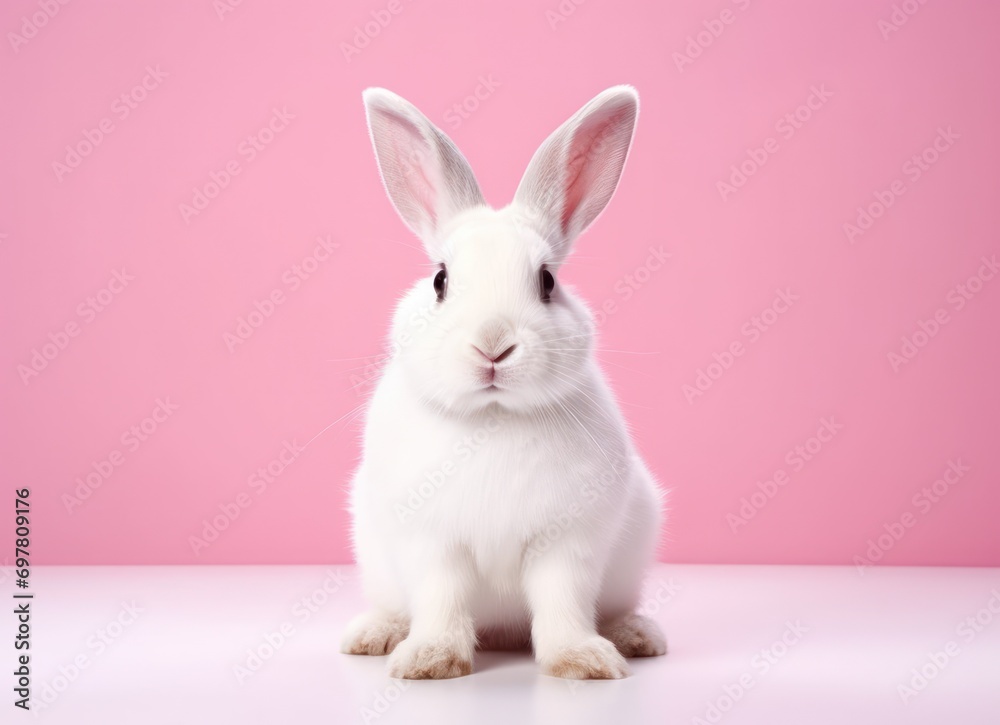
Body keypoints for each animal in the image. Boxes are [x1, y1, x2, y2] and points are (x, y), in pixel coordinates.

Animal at [340, 86, 668, 680]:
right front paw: (429, 661)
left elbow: (563, 604)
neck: (492, 418)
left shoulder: (567, 543)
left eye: (548, 281)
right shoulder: (432, 544)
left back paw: (634, 635)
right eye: (440, 280)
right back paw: (373, 635)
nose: (492, 344)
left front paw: (582, 662)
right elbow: (440, 601)